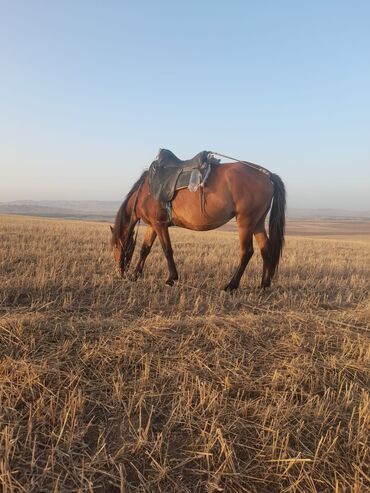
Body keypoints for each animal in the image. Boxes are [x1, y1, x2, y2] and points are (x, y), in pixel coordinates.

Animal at [110, 157, 286, 288]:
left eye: (116, 246)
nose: (119, 271)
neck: (145, 192)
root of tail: (266, 175)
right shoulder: (153, 225)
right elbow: (145, 249)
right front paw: (135, 275)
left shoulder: (159, 225)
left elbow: (167, 250)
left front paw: (171, 278)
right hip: (258, 222)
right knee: (266, 250)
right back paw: (263, 285)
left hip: (245, 221)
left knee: (247, 252)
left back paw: (232, 285)